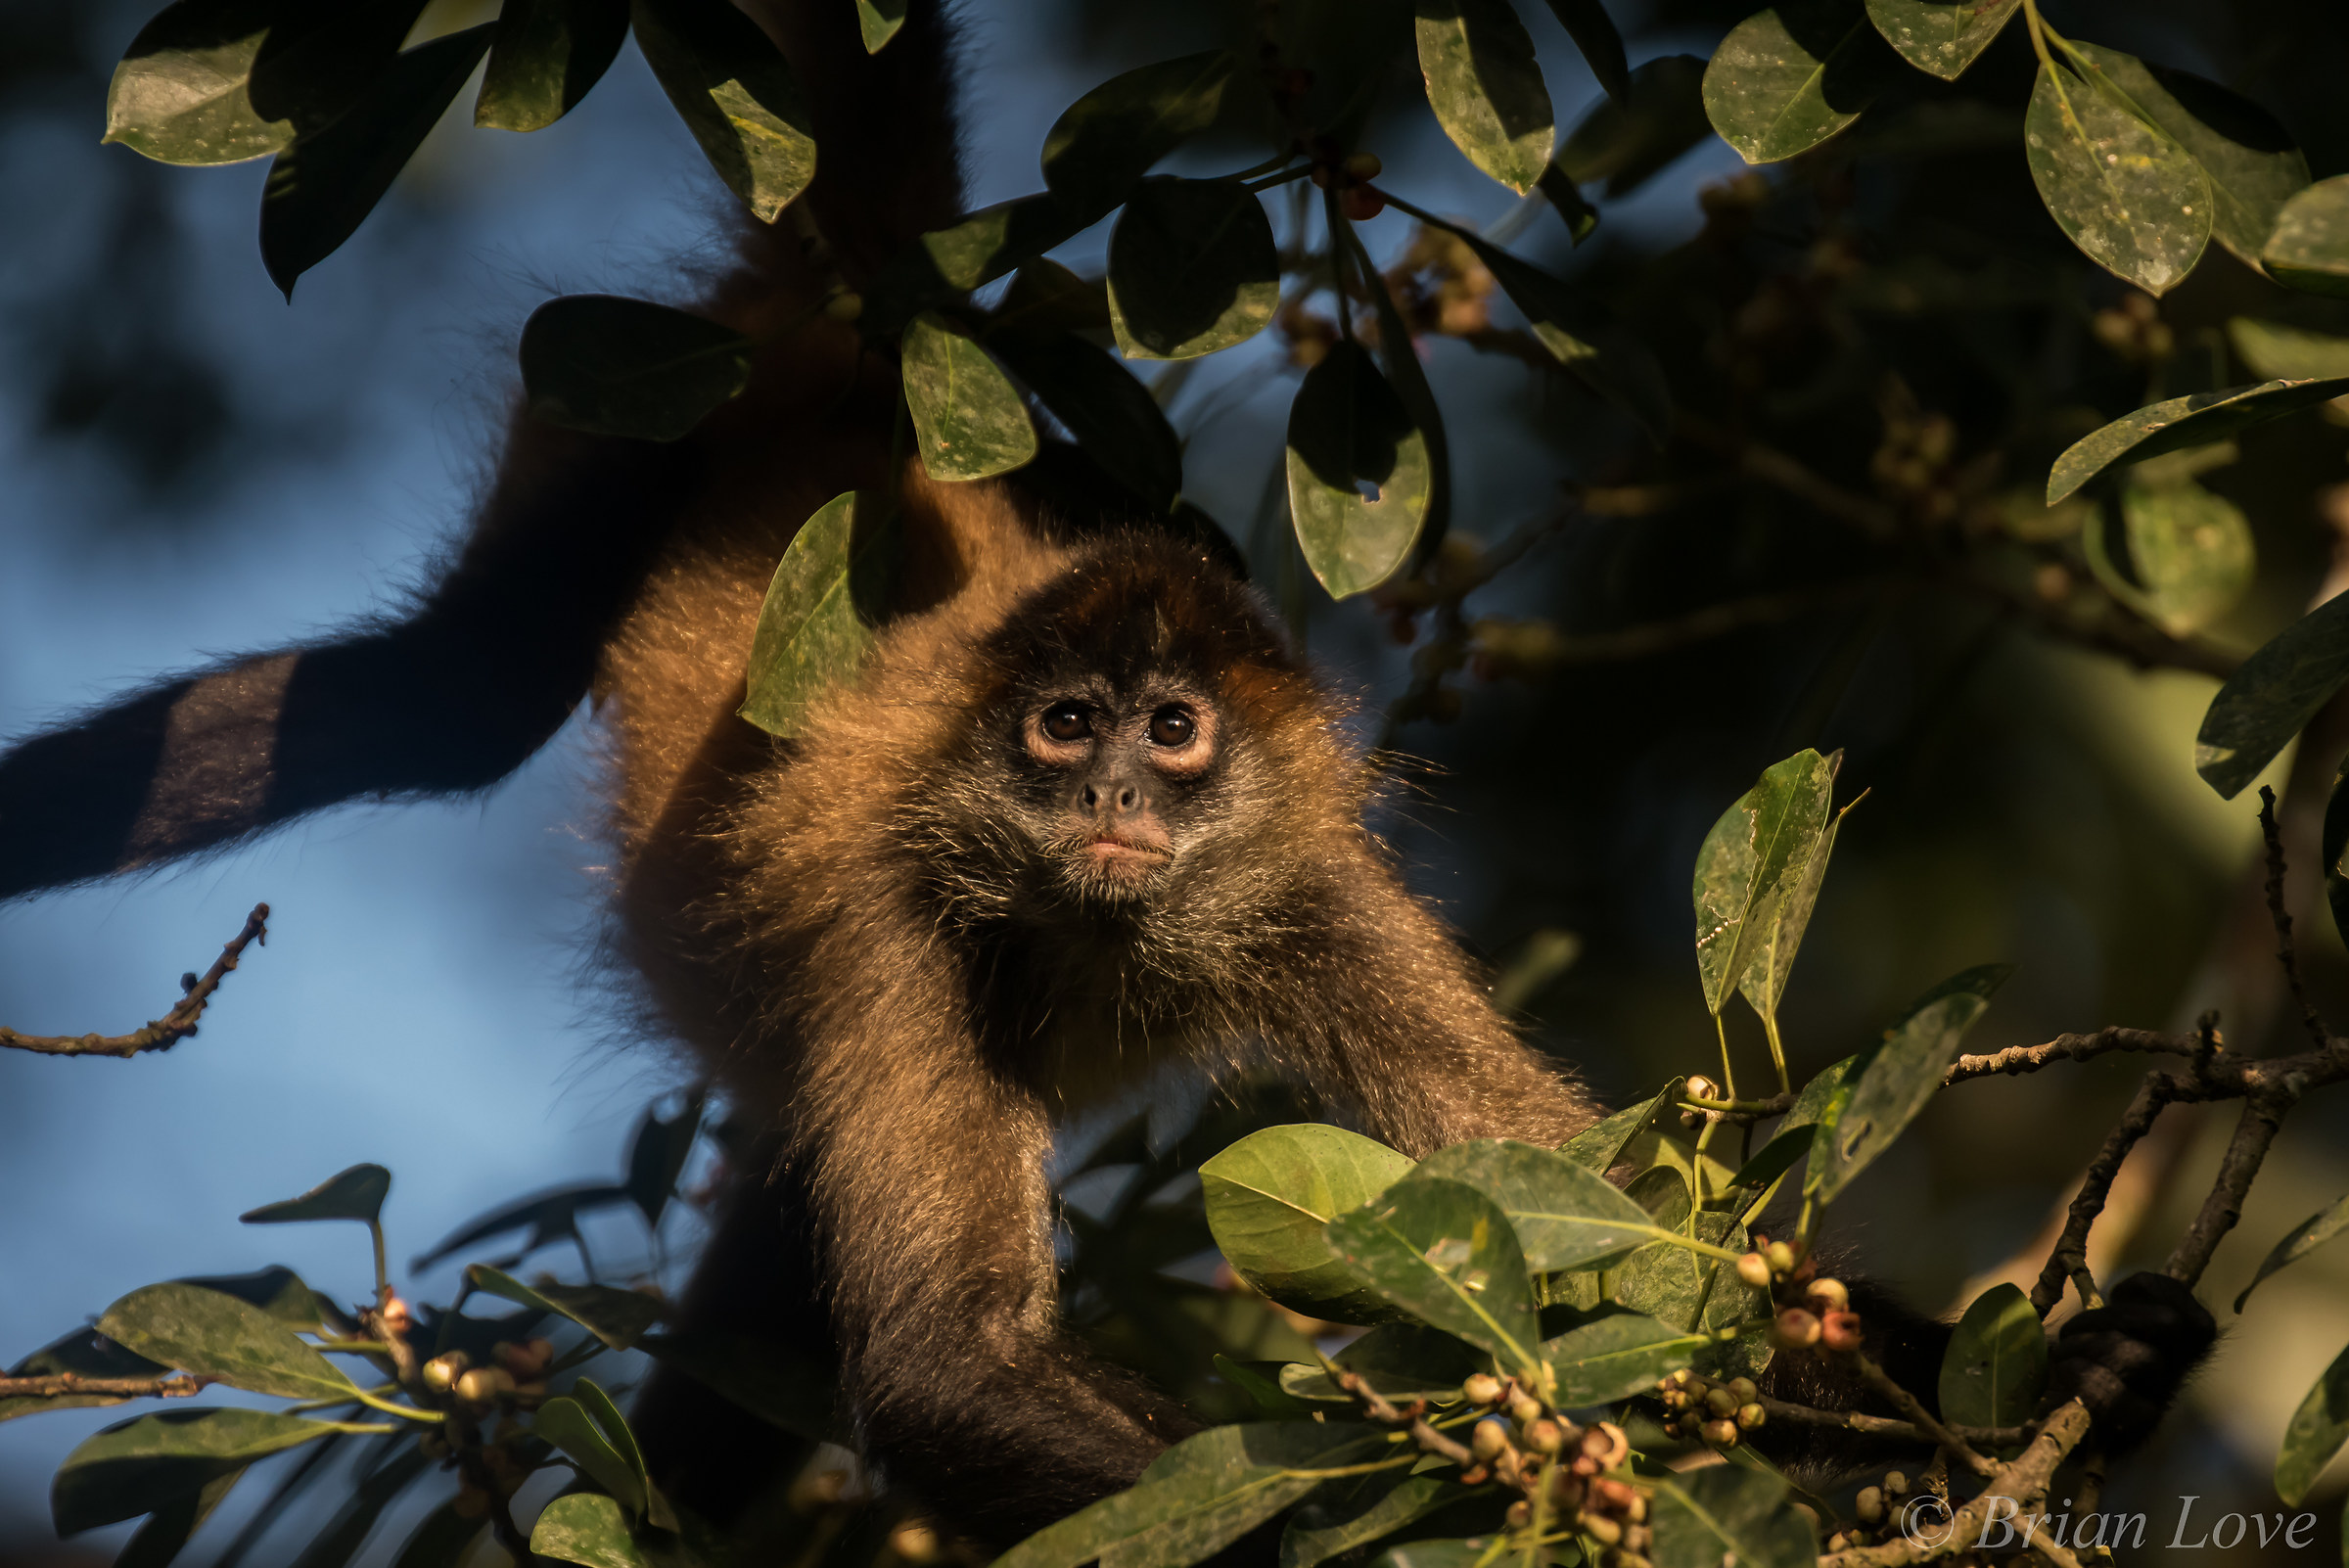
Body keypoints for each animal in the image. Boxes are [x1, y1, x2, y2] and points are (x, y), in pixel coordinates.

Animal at [0, 0, 2211, 1551]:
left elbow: (1629, 1241)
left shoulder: (1312, 887)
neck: (1090, 923)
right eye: (1062, 733)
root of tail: (884, 348)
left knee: (750, 1323)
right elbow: (948, 1373)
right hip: (633, 406)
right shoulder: (897, 910)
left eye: (1173, 735)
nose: (1110, 803)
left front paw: (2075, 1367)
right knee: (449, 699)